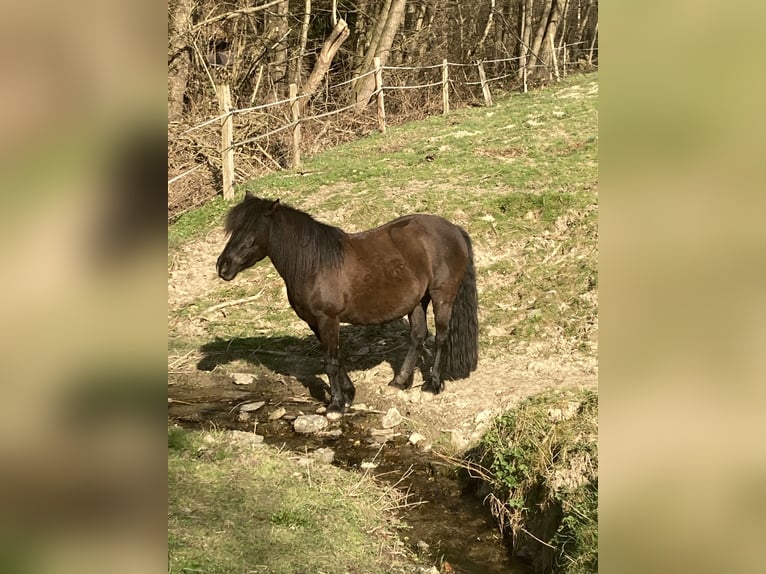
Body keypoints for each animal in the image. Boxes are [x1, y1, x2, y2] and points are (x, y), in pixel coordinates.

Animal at [216, 192, 479, 419]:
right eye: (234, 230)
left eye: (252, 233)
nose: (223, 266)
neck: (315, 265)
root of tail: (454, 229)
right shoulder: (316, 322)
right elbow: (336, 356)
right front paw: (349, 395)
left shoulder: (328, 319)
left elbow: (330, 363)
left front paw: (335, 405)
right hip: (416, 301)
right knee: (418, 337)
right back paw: (399, 382)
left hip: (442, 296)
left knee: (441, 338)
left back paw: (432, 384)